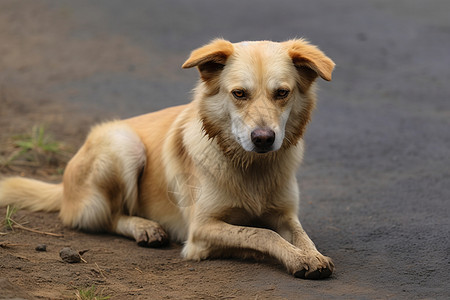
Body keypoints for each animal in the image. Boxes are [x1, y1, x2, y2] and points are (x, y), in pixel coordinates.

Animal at [0, 38, 336, 280]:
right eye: (239, 94)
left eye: (282, 93)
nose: (264, 139)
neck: (251, 166)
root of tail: (64, 186)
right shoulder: (200, 231)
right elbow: (262, 234)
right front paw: (296, 257)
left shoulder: (285, 214)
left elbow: (299, 235)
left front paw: (311, 255)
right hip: (124, 144)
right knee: (109, 217)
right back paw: (144, 228)